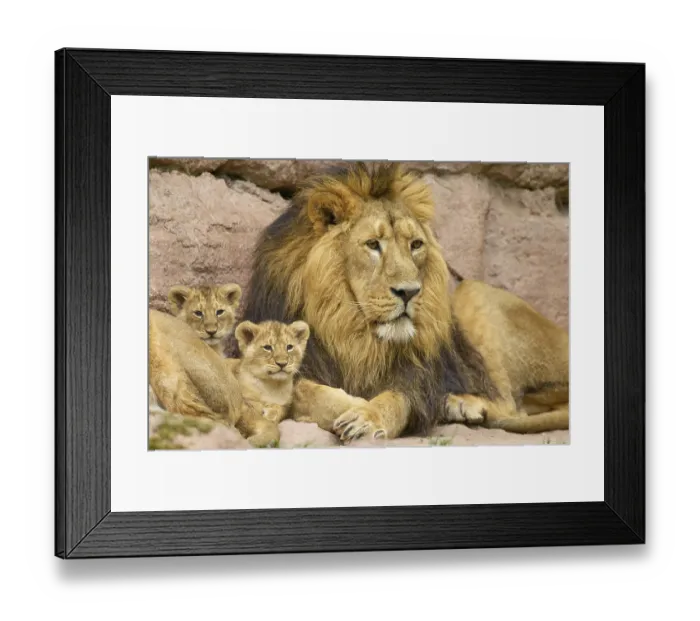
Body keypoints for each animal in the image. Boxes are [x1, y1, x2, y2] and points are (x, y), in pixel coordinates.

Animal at [241, 161, 569, 441]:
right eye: (373, 244)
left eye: (416, 245)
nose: (410, 292)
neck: (350, 329)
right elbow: (304, 391)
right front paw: (351, 404)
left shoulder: (416, 378)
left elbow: (396, 400)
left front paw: (366, 417)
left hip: (472, 292)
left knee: (513, 406)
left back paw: (461, 404)